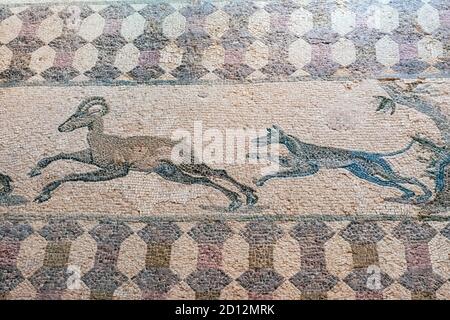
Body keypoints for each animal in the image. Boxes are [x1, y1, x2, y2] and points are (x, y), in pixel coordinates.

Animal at [29, 96, 256, 211]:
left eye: (79, 114)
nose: (61, 128)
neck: (102, 140)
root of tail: (185, 144)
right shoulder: (91, 158)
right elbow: (61, 154)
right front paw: (35, 172)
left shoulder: (118, 169)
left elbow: (74, 174)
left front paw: (44, 193)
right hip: (172, 173)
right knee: (204, 180)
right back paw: (239, 200)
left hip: (186, 165)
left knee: (218, 172)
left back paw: (246, 198)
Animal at [250, 125, 432, 204]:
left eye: (270, 136)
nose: (255, 140)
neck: (298, 147)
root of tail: (375, 154)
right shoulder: (293, 164)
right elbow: (273, 160)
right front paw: (252, 155)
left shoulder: (309, 169)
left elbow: (277, 172)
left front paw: (260, 180)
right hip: (366, 174)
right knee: (393, 183)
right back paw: (407, 196)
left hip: (373, 172)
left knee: (409, 179)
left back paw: (424, 195)